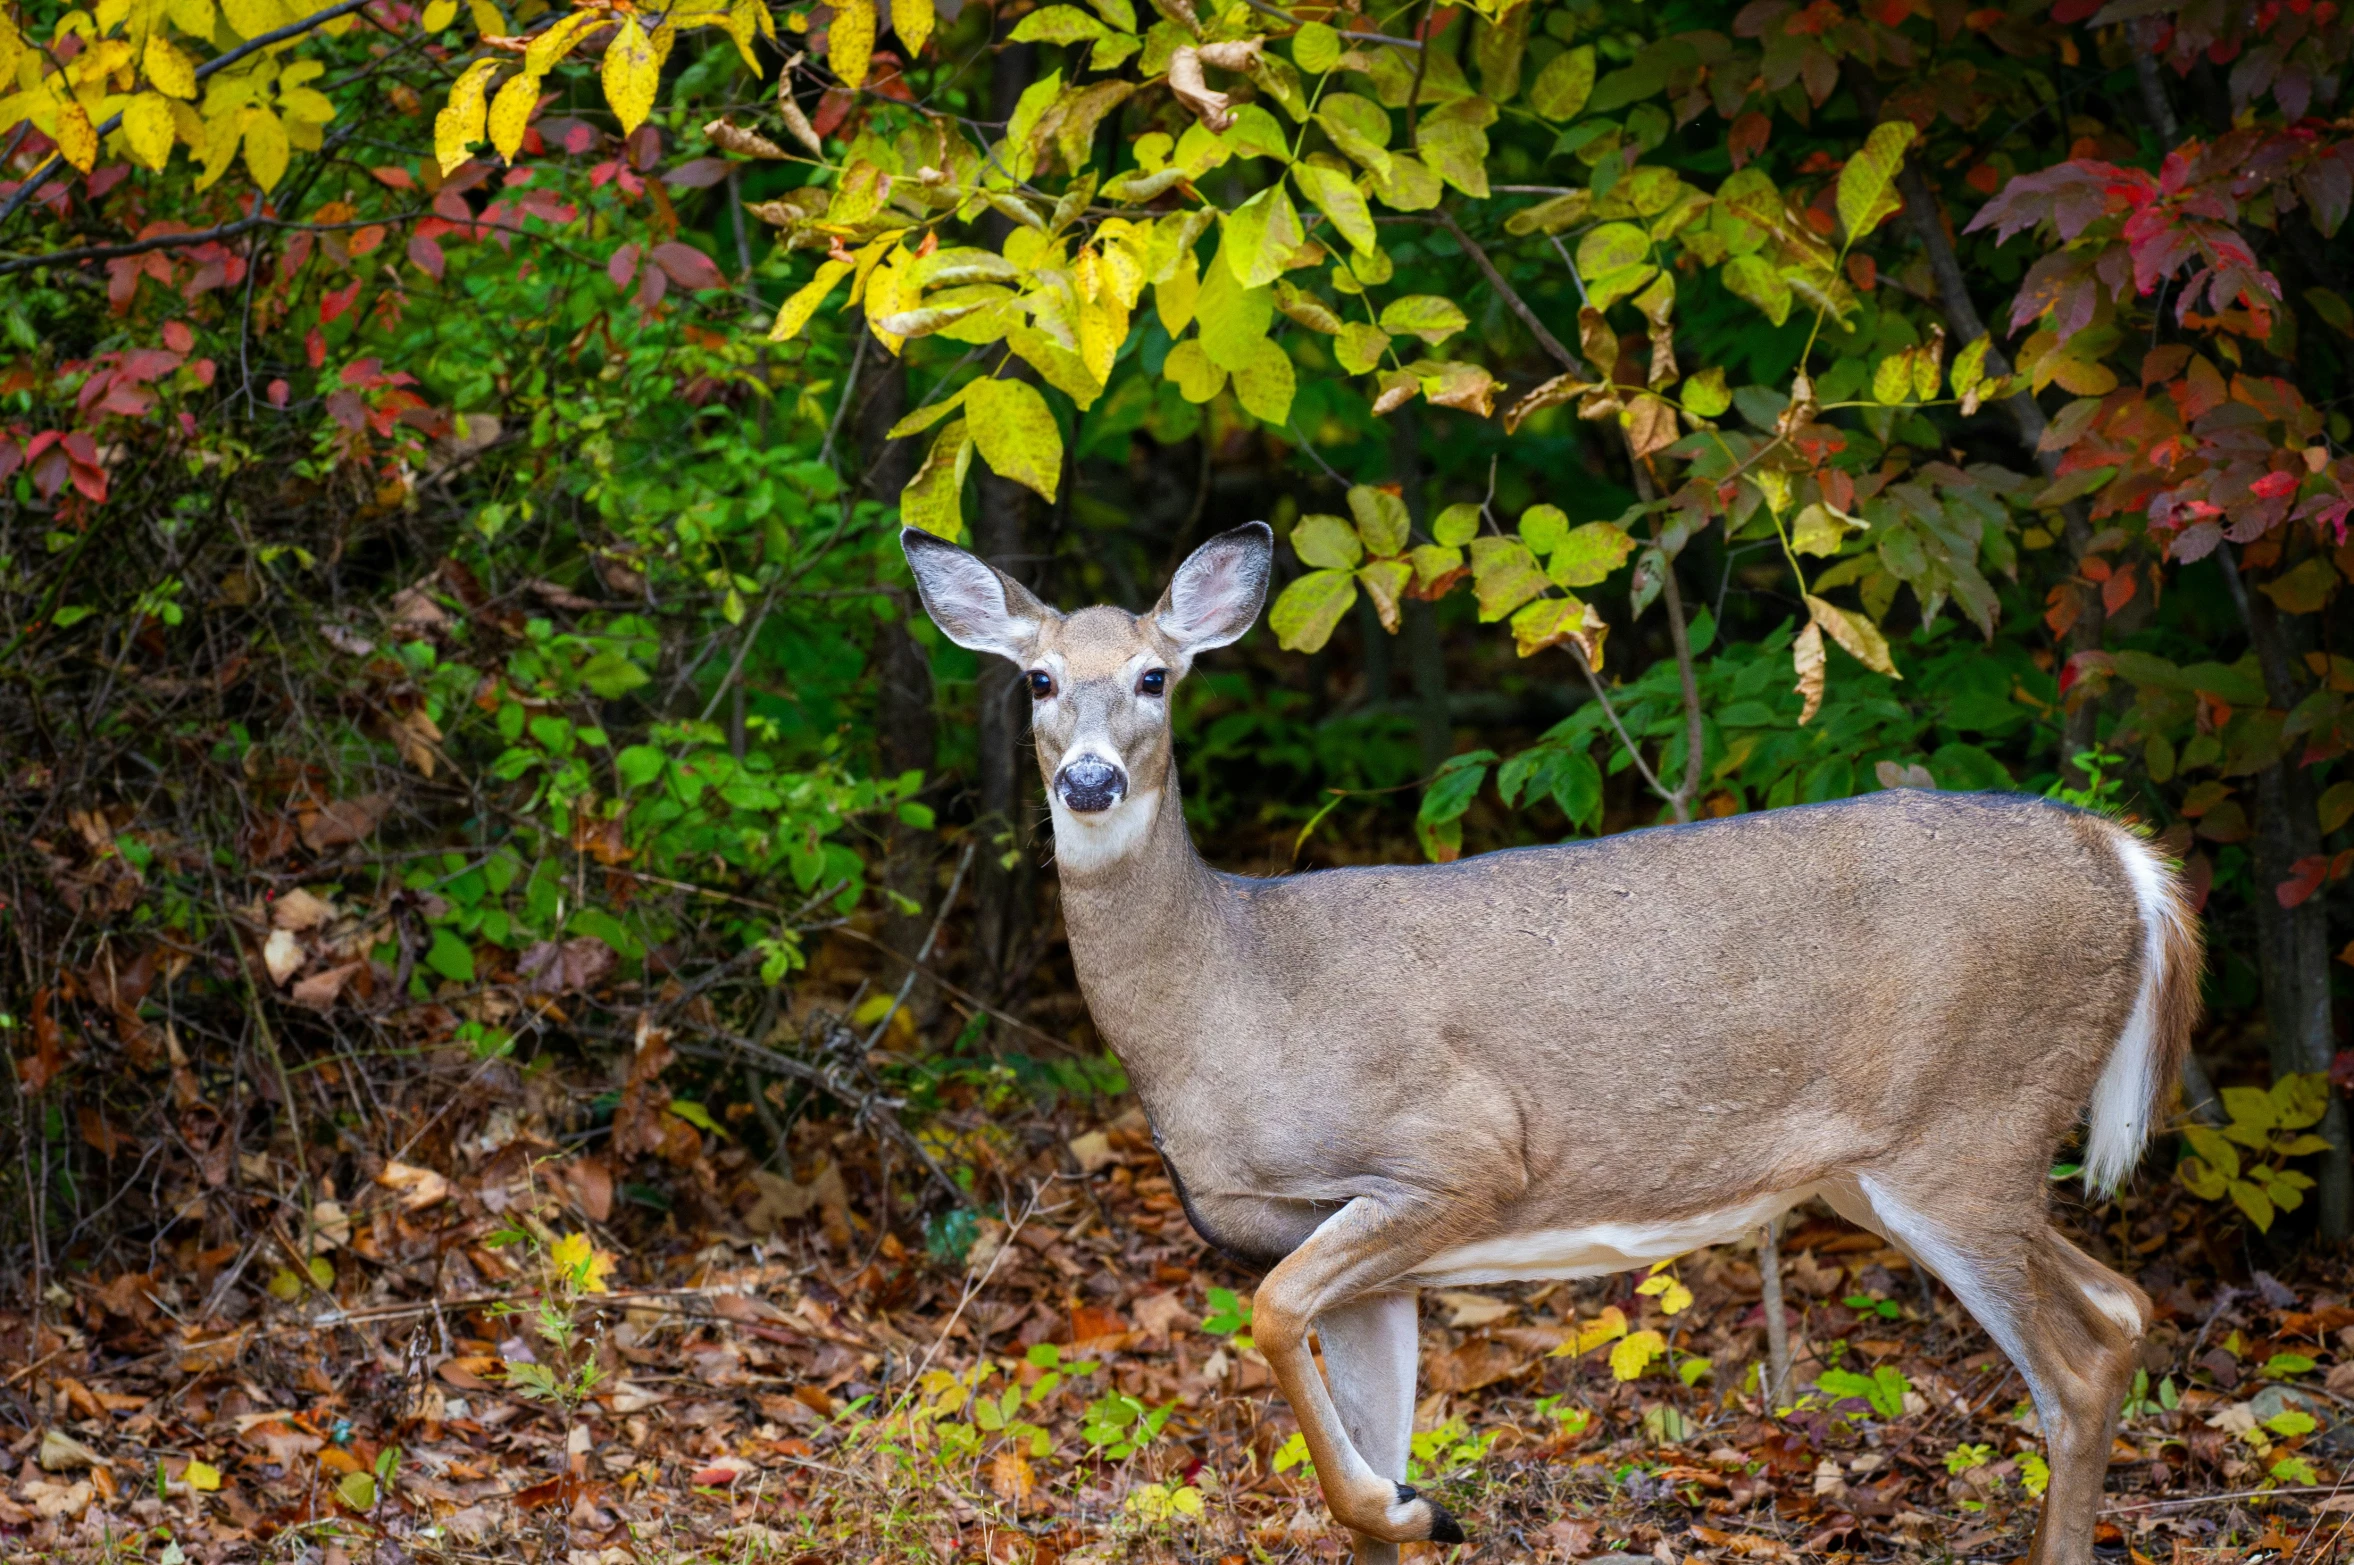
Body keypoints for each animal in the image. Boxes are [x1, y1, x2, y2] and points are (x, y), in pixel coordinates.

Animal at [899, 517, 2203, 1553]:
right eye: (1037, 681)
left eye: (1155, 677)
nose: (1089, 780)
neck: (1230, 992)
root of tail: (2120, 858)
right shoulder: (1371, 1253)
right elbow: (1355, 1444)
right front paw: (1404, 1503)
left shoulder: (1458, 1150)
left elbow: (1271, 1317)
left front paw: (1413, 1503)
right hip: (1909, 1163)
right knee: (2121, 1307)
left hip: (1966, 1128)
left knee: (2073, 1368)